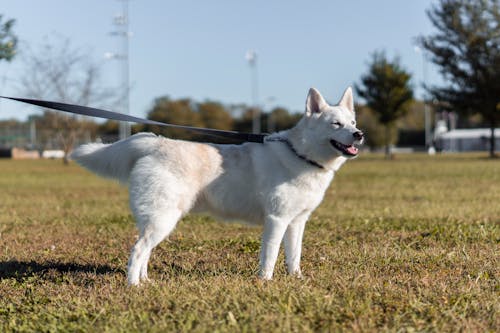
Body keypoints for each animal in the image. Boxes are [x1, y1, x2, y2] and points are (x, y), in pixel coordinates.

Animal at [71, 87, 364, 284]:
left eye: (352, 122)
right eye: (335, 124)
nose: (359, 134)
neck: (300, 155)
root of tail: (155, 142)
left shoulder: (297, 222)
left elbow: (294, 256)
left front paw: (297, 279)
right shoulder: (277, 220)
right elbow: (270, 257)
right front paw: (266, 283)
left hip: (158, 220)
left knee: (144, 252)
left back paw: (145, 281)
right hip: (163, 219)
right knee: (138, 250)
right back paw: (133, 286)